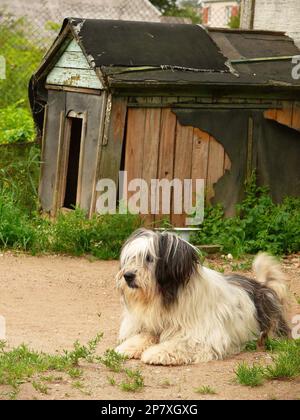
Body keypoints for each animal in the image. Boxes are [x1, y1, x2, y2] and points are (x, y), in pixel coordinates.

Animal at [115, 230, 290, 364]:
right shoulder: (154, 325)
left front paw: (157, 352)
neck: (169, 297)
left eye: (149, 258)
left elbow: (183, 343)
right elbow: (145, 335)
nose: (127, 276)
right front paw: (128, 347)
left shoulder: (206, 336)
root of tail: (263, 286)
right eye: (131, 258)